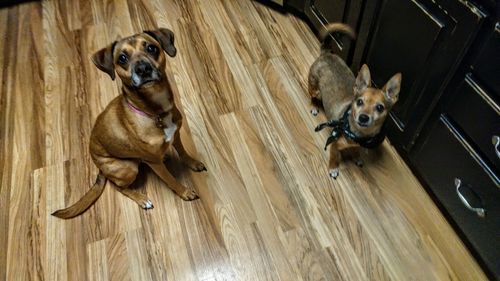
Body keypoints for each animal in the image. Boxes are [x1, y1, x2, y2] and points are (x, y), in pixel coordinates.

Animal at [51, 27, 206, 219]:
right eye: (122, 58)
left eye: (151, 48)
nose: (143, 69)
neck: (154, 111)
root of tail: (100, 169)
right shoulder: (156, 165)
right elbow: (171, 179)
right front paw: (184, 192)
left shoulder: (175, 135)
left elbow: (183, 152)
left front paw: (193, 163)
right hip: (127, 168)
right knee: (118, 187)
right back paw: (141, 199)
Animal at [308, 23, 402, 178]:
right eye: (359, 102)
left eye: (380, 107)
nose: (363, 117)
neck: (359, 134)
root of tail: (327, 53)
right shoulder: (334, 144)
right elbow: (334, 156)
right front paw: (333, 169)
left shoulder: (359, 145)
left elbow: (357, 150)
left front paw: (357, 158)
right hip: (314, 88)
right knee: (312, 96)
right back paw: (314, 107)